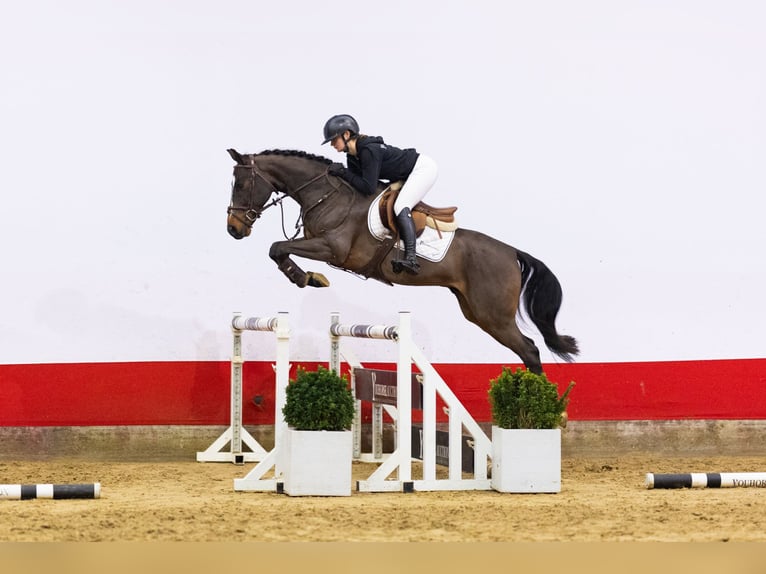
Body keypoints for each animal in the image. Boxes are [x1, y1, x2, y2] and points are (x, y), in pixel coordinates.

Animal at [226, 148, 578, 374]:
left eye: (241, 184)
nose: (234, 229)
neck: (326, 194)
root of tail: (512, 252)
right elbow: (278, 249)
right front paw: (308, 277)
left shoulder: (331, 249)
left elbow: (277, 247)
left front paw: (307, 278)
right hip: (477, 312)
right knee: (527, 349)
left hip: (495, 316)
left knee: (529, 349)